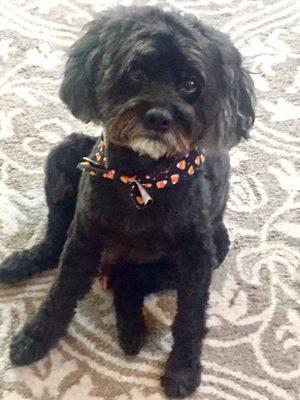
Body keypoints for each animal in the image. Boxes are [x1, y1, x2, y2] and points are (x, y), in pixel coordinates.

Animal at [0, 7, 254, 400]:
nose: (159, 117)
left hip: (213, 249)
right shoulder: (84, 235)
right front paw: (35, 337)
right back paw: (23, 262)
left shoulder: (197, 256)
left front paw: (183, 370)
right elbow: (61, 290)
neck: (142, 179)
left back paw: (132, 329)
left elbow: (191, 316)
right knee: (56, 240)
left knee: (130, 281)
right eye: (136, 72)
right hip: (63, 159)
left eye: (191, 84)